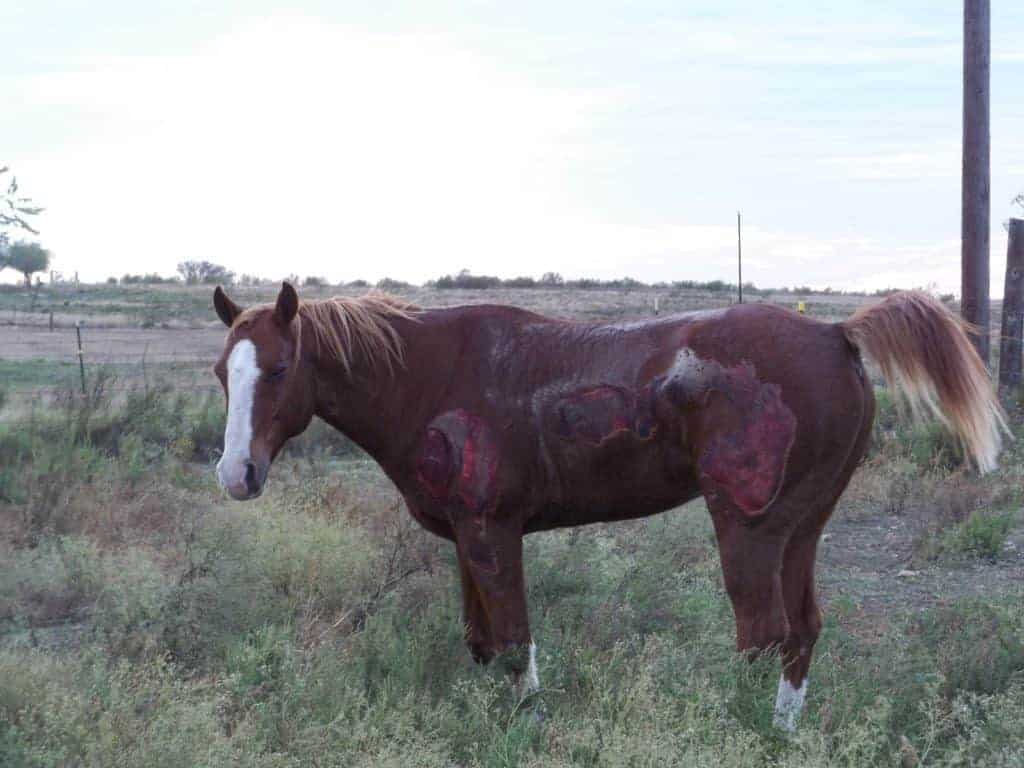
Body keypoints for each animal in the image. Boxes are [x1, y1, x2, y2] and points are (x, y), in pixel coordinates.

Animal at [211, 282, 1006, 731]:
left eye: (280, 368)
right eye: (223, 371)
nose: (235, 473)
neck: (432, 376)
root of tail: (836, 332)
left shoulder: (493, 533)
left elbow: (514, 645)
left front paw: (527, 731)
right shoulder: (465, 539)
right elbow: (481, 644)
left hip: (749, 531)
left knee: (763, 634)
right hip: (802, 530)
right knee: (802, 633)